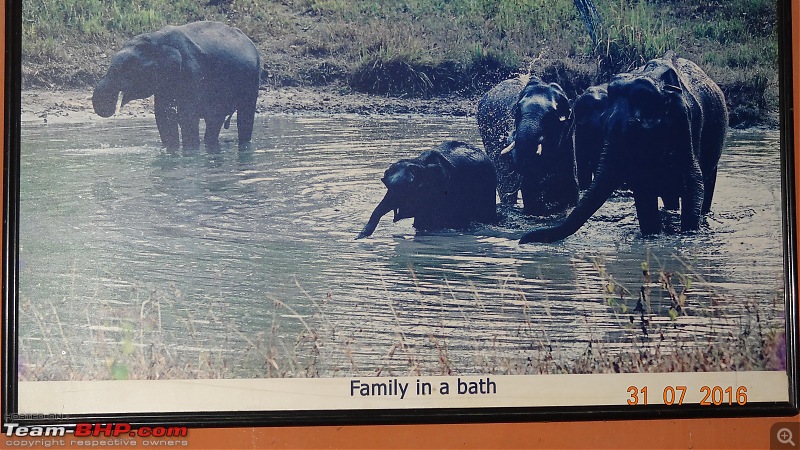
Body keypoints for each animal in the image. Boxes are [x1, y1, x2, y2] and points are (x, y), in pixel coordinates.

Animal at [92, 20, 260, 149]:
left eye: (128, 69)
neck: (156, 39)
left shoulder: (192, 71)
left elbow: (187, 115)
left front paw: (190, 150)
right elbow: (164, 115)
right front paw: (171, 149)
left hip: (252, 80)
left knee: (244, 117)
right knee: (215, 120)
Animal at [520, 52, 728, 244]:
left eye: (636, 128)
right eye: (604, 122)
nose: (522, 239)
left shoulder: (685, 124)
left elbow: (694, 182)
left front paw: (688, 236)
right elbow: (644, 191)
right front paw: (652, 237)